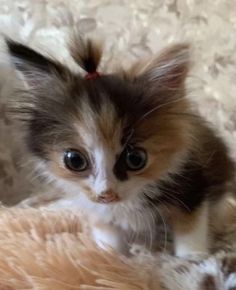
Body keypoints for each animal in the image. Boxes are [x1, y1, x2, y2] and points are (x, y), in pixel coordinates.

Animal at [6, 35, 234, 256]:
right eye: (74, 160)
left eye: (136, 159)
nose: (107, 194)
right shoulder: (96, 206)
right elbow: (108, 235)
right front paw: (110, 256)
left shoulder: (192, 186)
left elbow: (190, 228)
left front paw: (192, 258)